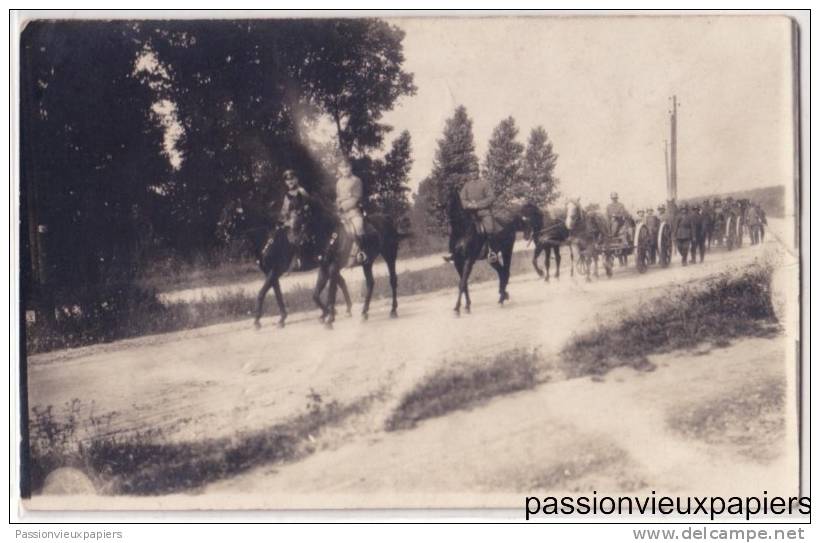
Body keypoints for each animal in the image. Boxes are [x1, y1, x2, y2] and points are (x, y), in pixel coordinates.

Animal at [221, 199, 352, 330]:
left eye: (232, 215)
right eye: (225, 212)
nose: (222, 232)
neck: (269, 238)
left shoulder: (275, 271)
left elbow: (262, 293)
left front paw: (257, 321)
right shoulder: (271, 273)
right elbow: (278, 294)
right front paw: (282, 318)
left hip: (331, 267)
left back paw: (338, 311)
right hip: (327, 267)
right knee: (340, 283)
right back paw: (341, 310)